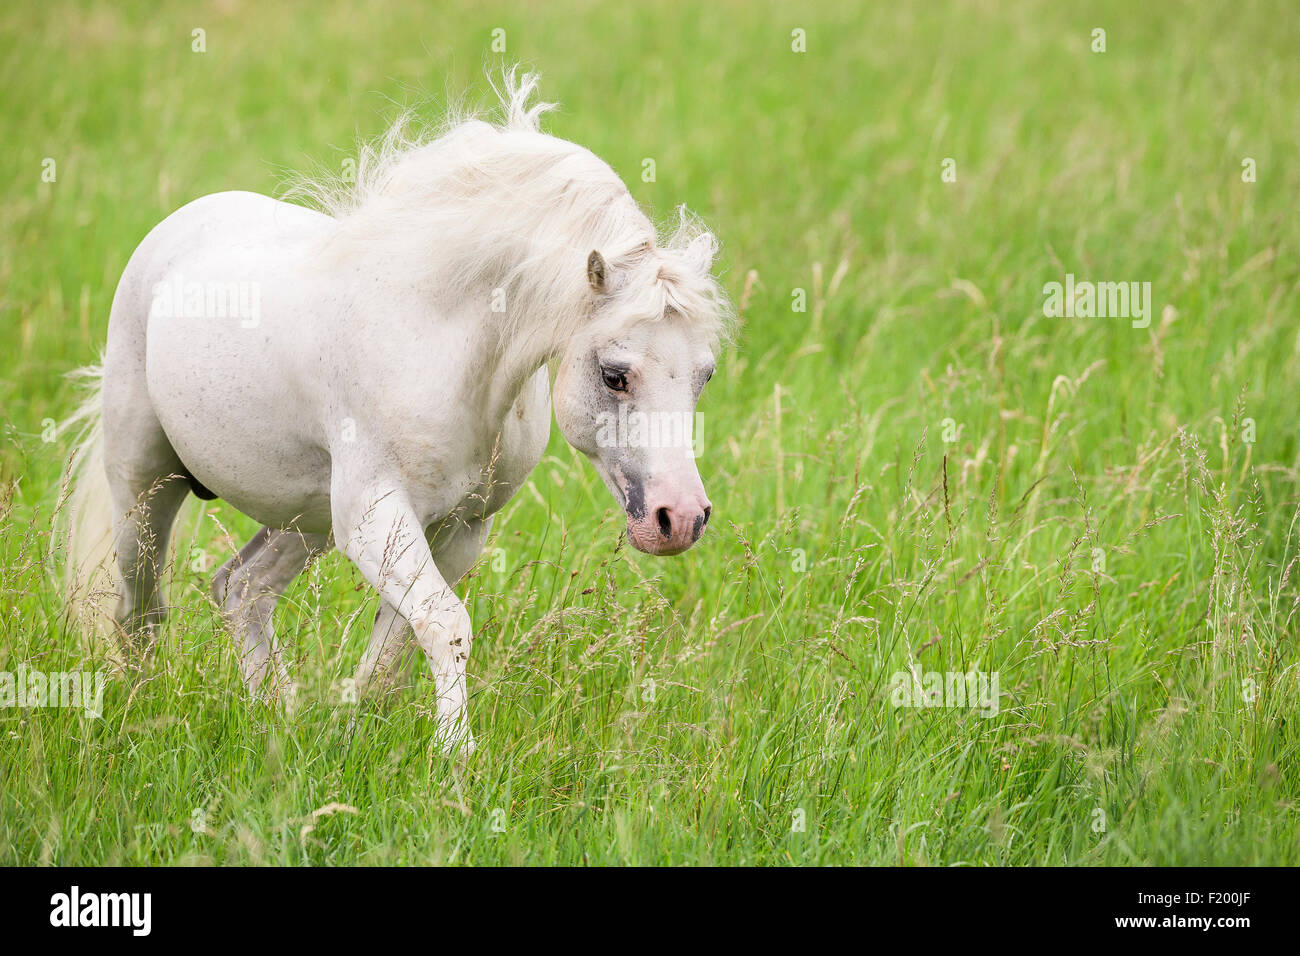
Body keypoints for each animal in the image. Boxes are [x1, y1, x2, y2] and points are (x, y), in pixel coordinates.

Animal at [65, 70, 733, 749]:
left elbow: (395, 650)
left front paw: (356, 734)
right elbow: (445, 624)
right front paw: (455, 754)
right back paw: (145, 711)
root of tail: (176, 229)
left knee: (241, 588)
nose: (679, 519)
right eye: (614, 375)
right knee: (140, 606)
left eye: (704, 375)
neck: (444, 347)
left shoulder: (457, 528)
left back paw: (276, 718)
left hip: (306, 519)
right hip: (145, 486)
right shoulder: (376, 518)